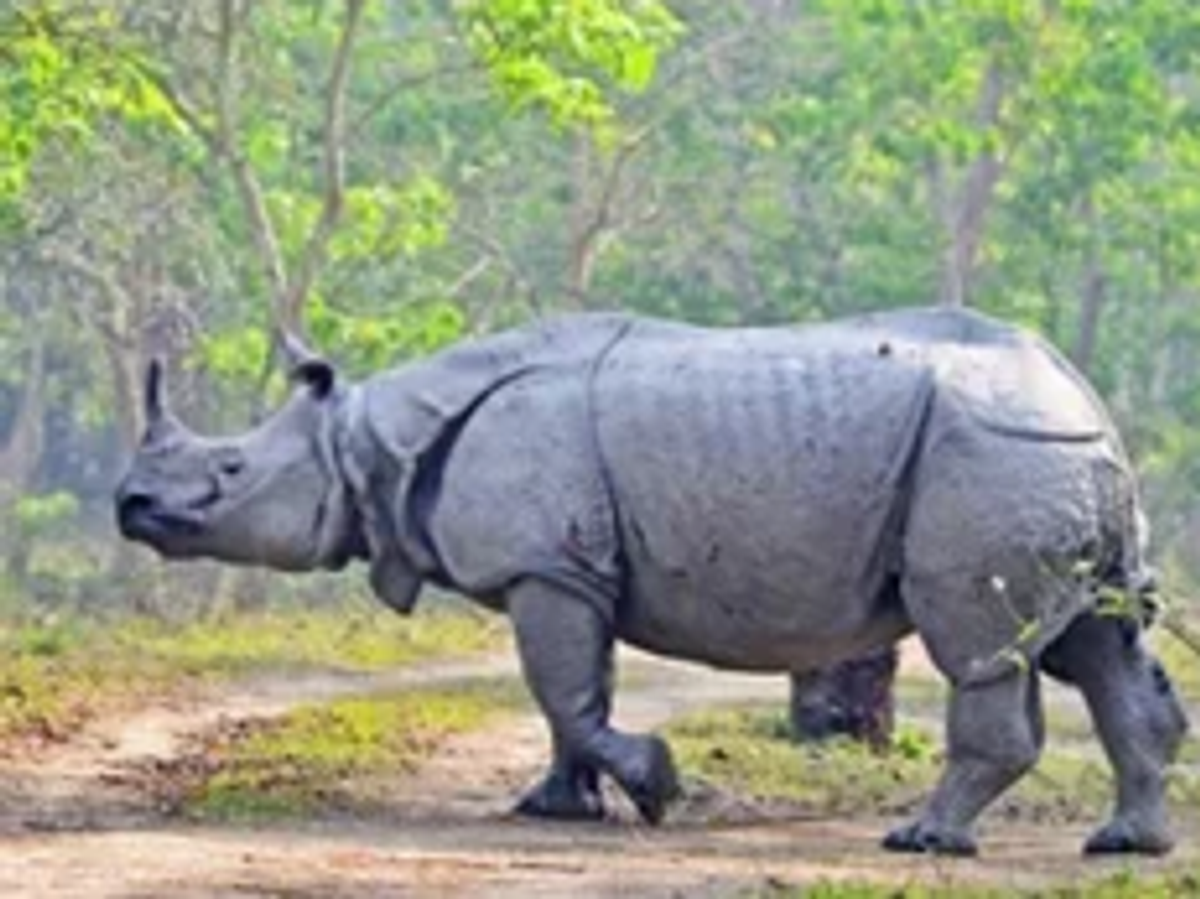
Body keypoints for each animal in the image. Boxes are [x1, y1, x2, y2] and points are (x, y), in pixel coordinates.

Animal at [115, 307, 1189, 856]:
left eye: (229, 471)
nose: (129, 502)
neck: (368, 440)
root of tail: (1080, 393)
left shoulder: (545, 564)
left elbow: (566, 692)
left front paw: (657, 788)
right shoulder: (567, 570)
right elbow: (568, 696)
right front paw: (552, 808)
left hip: (995, 454)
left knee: (980, 647)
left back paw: (921, 841)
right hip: (1047, 457)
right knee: (1098, 646)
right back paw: (1125, 844)